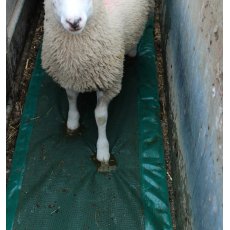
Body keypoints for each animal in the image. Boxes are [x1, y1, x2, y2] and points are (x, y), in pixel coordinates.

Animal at [41, 0, 152, 164]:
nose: (74, 22)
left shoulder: (107, 84)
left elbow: (100, 117)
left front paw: (103, 150)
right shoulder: (68, 76)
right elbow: (71, 98)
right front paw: (72, 121)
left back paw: (132, 51)